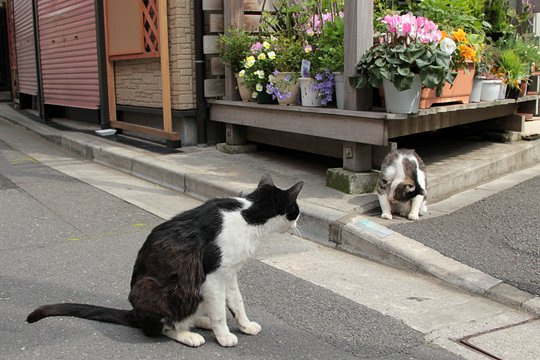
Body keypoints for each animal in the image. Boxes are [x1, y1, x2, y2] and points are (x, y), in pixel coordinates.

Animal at [26, 173, 304, 348]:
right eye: (296, 211)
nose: (298, 222)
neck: (249, 215)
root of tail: (135, 313)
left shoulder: (230, 272)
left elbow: (236, 301)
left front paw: (244, 326)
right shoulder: (213, 276)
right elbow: (219, 312)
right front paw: (224, 335)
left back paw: (198, 322)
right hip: (155, 288)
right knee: (162, 327)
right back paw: (188, 334)